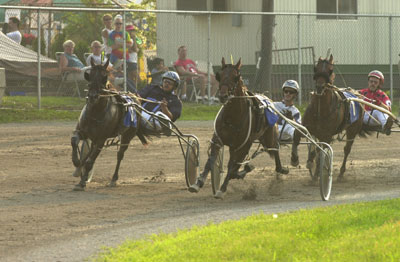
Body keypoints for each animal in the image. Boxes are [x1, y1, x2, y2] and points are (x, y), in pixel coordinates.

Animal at [71, 58, 147, 190]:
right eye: (90, 75)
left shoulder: (101, 140)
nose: (93, 96)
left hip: (127, 136)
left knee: (120, 155)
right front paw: (76, 162)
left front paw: (82, 182)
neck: (96, 113)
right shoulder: (82, 131)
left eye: (104, 77)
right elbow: (74, 140)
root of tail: (135, 97)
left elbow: (90, 161)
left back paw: (113, 179)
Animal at [190, 57, 288, 199]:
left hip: (268, 137)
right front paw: (198, 182)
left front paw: (222, 189)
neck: (232, 117)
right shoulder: (218, 140)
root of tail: (268, 100)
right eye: (220, 75)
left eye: (236, 77)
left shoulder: (242, 145)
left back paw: (280, 168)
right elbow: (211, 161)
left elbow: (232, 167)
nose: (223, 96)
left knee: (274, 150)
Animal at [290, 54, 368, 182]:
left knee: (347, 149)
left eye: (330, 70)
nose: (319, 87)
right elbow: (297, 136)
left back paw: (341, 173)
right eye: (315, 68)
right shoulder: (308, 128)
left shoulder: (326, 135)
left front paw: (317, 174)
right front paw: (295, 159)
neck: (320, 111)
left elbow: (321, 152)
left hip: (352, 130)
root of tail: (357, 94)